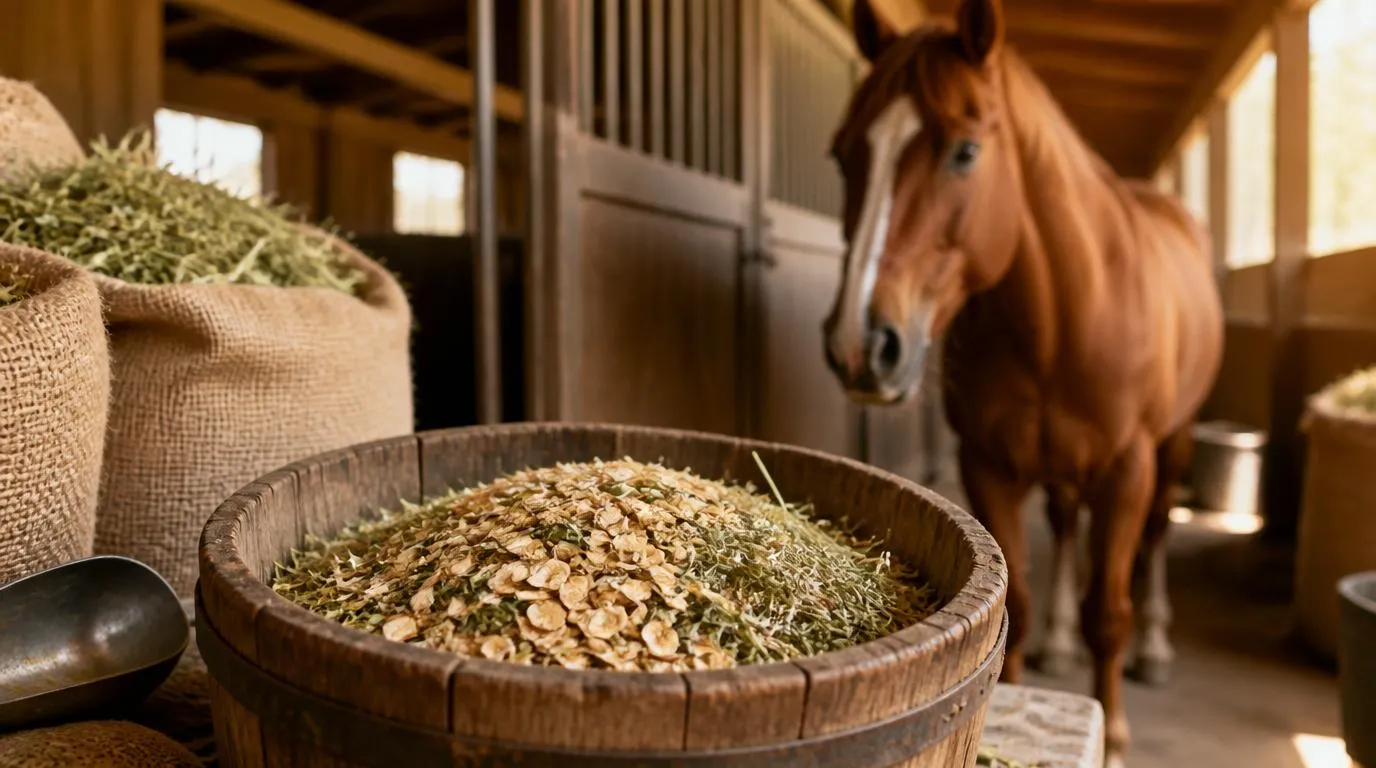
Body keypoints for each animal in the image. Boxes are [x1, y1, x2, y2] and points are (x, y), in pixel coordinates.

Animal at [820, 1, 1224, 764]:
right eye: (842, 152)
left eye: (965, 151)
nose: (860, 346)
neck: (1060, 318)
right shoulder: (992, 468)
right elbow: (1024, 602)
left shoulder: (1126, 470)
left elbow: (1110, 613)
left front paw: (1114, 734)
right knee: (1065, 527)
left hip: (1175, 441)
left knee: (1156, 534)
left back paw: (1156, 646)